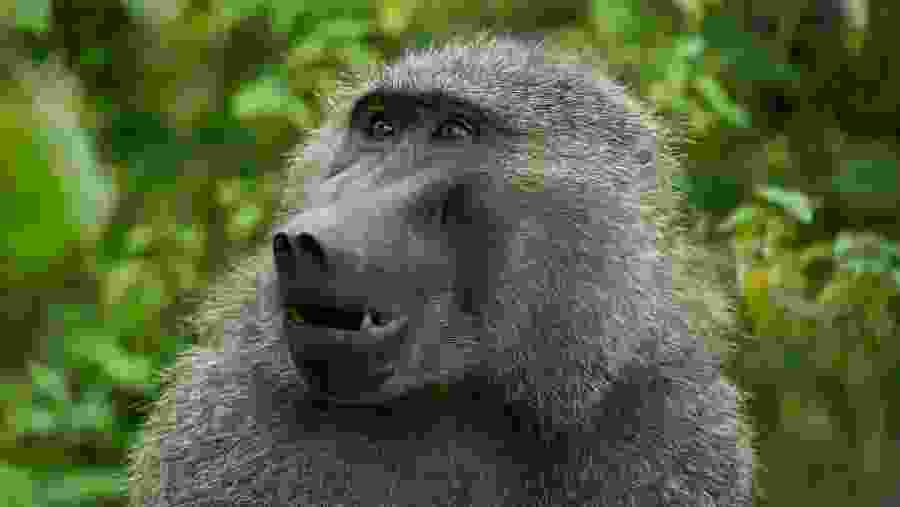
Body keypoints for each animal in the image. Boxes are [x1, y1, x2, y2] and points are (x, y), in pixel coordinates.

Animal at [128, 36, 754, 506]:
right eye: (380, 128)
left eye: (454, 132)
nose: (300, 241)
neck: (459, 402)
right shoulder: (225, 414)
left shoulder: (676, 423)